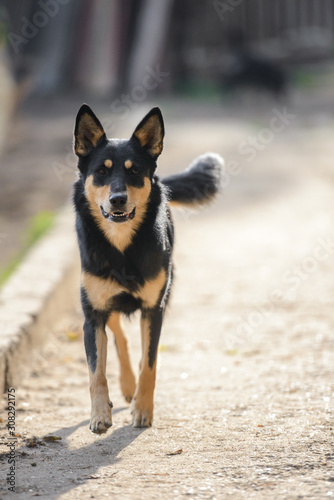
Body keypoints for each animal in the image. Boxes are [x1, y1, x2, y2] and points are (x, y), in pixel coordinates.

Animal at [74, 103, 223, 432]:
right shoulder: (93, 316)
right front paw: (99, 414)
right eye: (101, 171)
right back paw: (126, 385)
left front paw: (143, 410)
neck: (121, 245)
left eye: (135, 171)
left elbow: (151, 363)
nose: (118, 200)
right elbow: (95, 372)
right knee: (120, 337)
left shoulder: (154, 309)